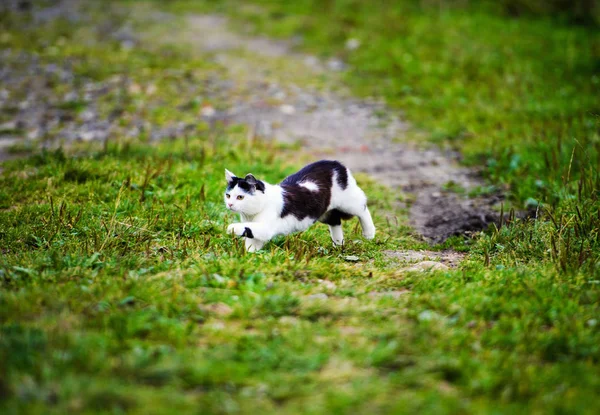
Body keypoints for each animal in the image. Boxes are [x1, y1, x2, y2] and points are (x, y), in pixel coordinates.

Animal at [225, 160, 376, 252]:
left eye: (240, 197)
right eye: (228, 195)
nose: (230, 204)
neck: (251, 214)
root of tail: (336, 164)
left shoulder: (266, 227)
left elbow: (249, 229)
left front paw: (231, 228)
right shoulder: (258, 232)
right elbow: (251, 239)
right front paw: (249, 255)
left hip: (349, 203)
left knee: (363, 207)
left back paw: (369, 233)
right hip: (324, 213)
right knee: (335, 222)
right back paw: (338, 245)